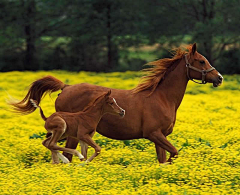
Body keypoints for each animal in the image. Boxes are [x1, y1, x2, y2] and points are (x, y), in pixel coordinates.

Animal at [9, 43, 223, 163]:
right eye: (201, 61)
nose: (219, 78)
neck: (162, 98)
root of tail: (66, 87)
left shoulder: (159, 137)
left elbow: (163, 160)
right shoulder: (154, 134)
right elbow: (174, 153)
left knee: (51, 145)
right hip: (71, 134)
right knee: (62, 150)